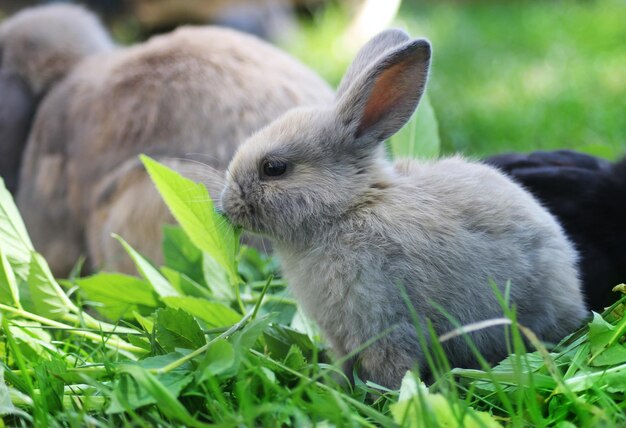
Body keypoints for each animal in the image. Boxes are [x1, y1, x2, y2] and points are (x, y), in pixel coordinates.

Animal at [222, 30, 588, 388]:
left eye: (274, 168)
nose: (226, 206)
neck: (348, 207)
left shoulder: (388, 323)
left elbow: (393, 369)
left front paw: (391, 397)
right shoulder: (341, 336)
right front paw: (336, 387)